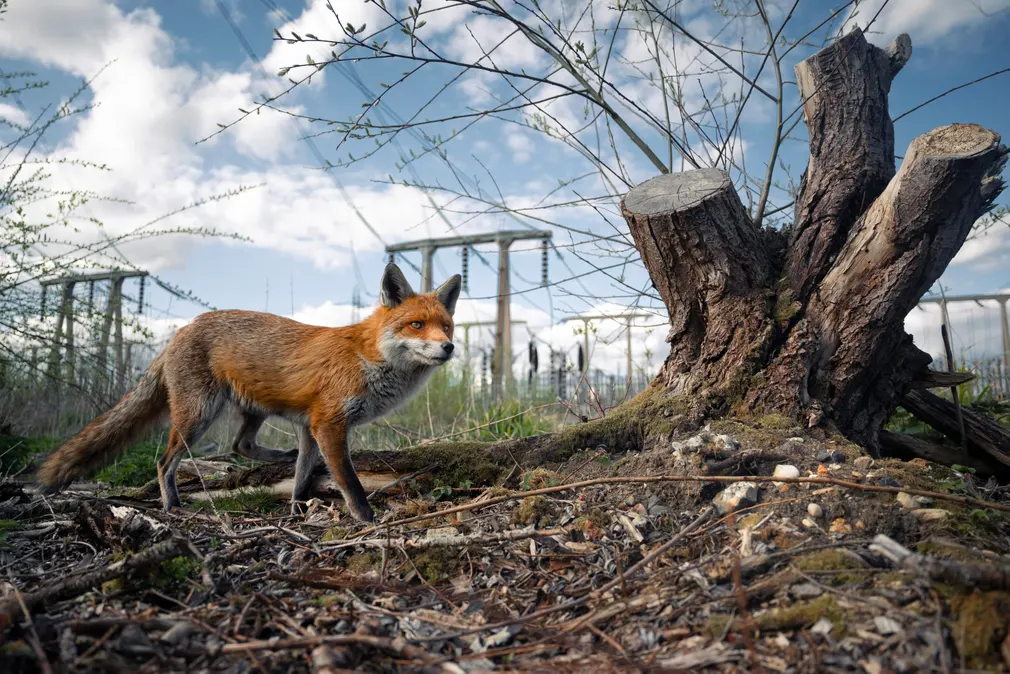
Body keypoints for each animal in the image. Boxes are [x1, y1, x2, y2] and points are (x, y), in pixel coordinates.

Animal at [35, 262, 462, 521]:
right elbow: (350, 483)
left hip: (252, 409)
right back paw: (172, 504)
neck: (369, 357)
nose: (449, 348)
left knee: (241, 445)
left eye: (447, 326)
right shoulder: (329, 424)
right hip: (198, 415)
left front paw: (297, 508)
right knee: (165, 463)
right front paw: (366, 518)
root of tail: (183, 329)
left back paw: (276, 456)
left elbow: (303, 475)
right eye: (417, 324)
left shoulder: (310, 427)